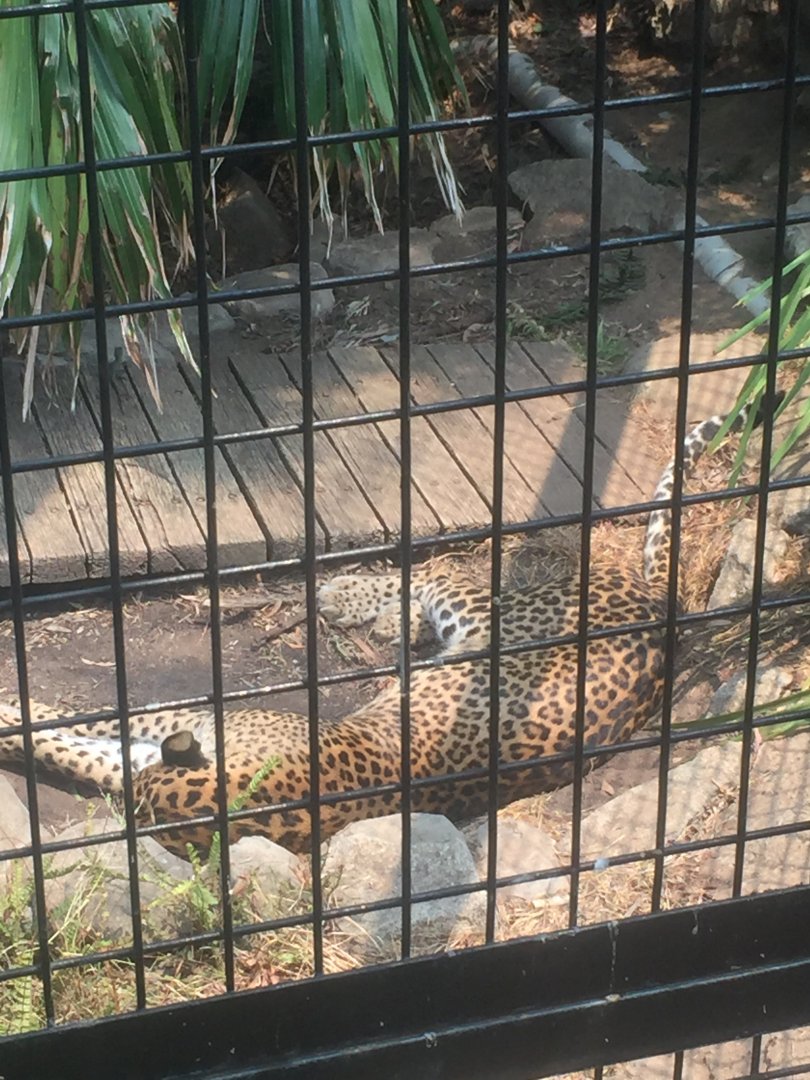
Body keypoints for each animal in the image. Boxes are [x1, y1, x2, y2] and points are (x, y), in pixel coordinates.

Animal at [0, 408, 758, 858]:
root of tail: (660, 602)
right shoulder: (137, 760)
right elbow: (65, 740)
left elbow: (85, 724)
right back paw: (388, 621)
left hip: (491, 615)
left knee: (434, 575)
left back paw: (351, 597)